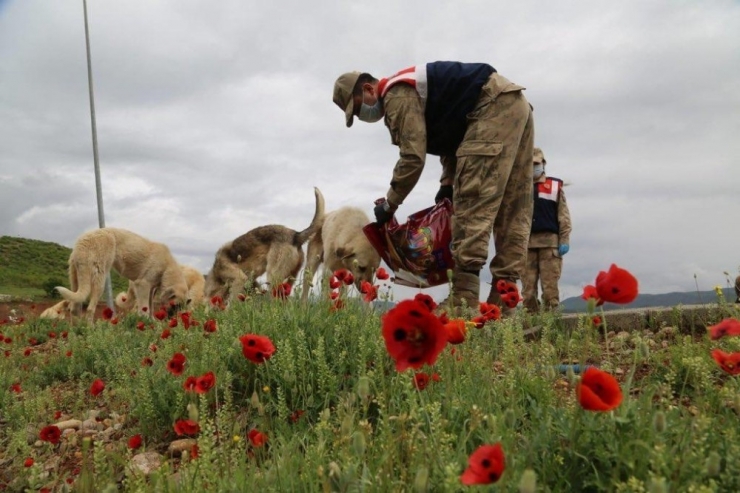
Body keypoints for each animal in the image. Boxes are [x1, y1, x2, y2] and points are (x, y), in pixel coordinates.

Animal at [58, 228, 191, 322]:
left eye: (181, 307)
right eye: (174, 305)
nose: (172, 321)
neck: (167, 268)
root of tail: (82, 240)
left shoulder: (151, 289)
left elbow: (150, 306)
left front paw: (152, 321)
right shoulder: (142, 285)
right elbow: (144, 307)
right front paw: (146, 324)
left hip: (76, 280)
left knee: (74, 309)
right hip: (99, 281)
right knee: (90, 309)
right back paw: (92, 331)